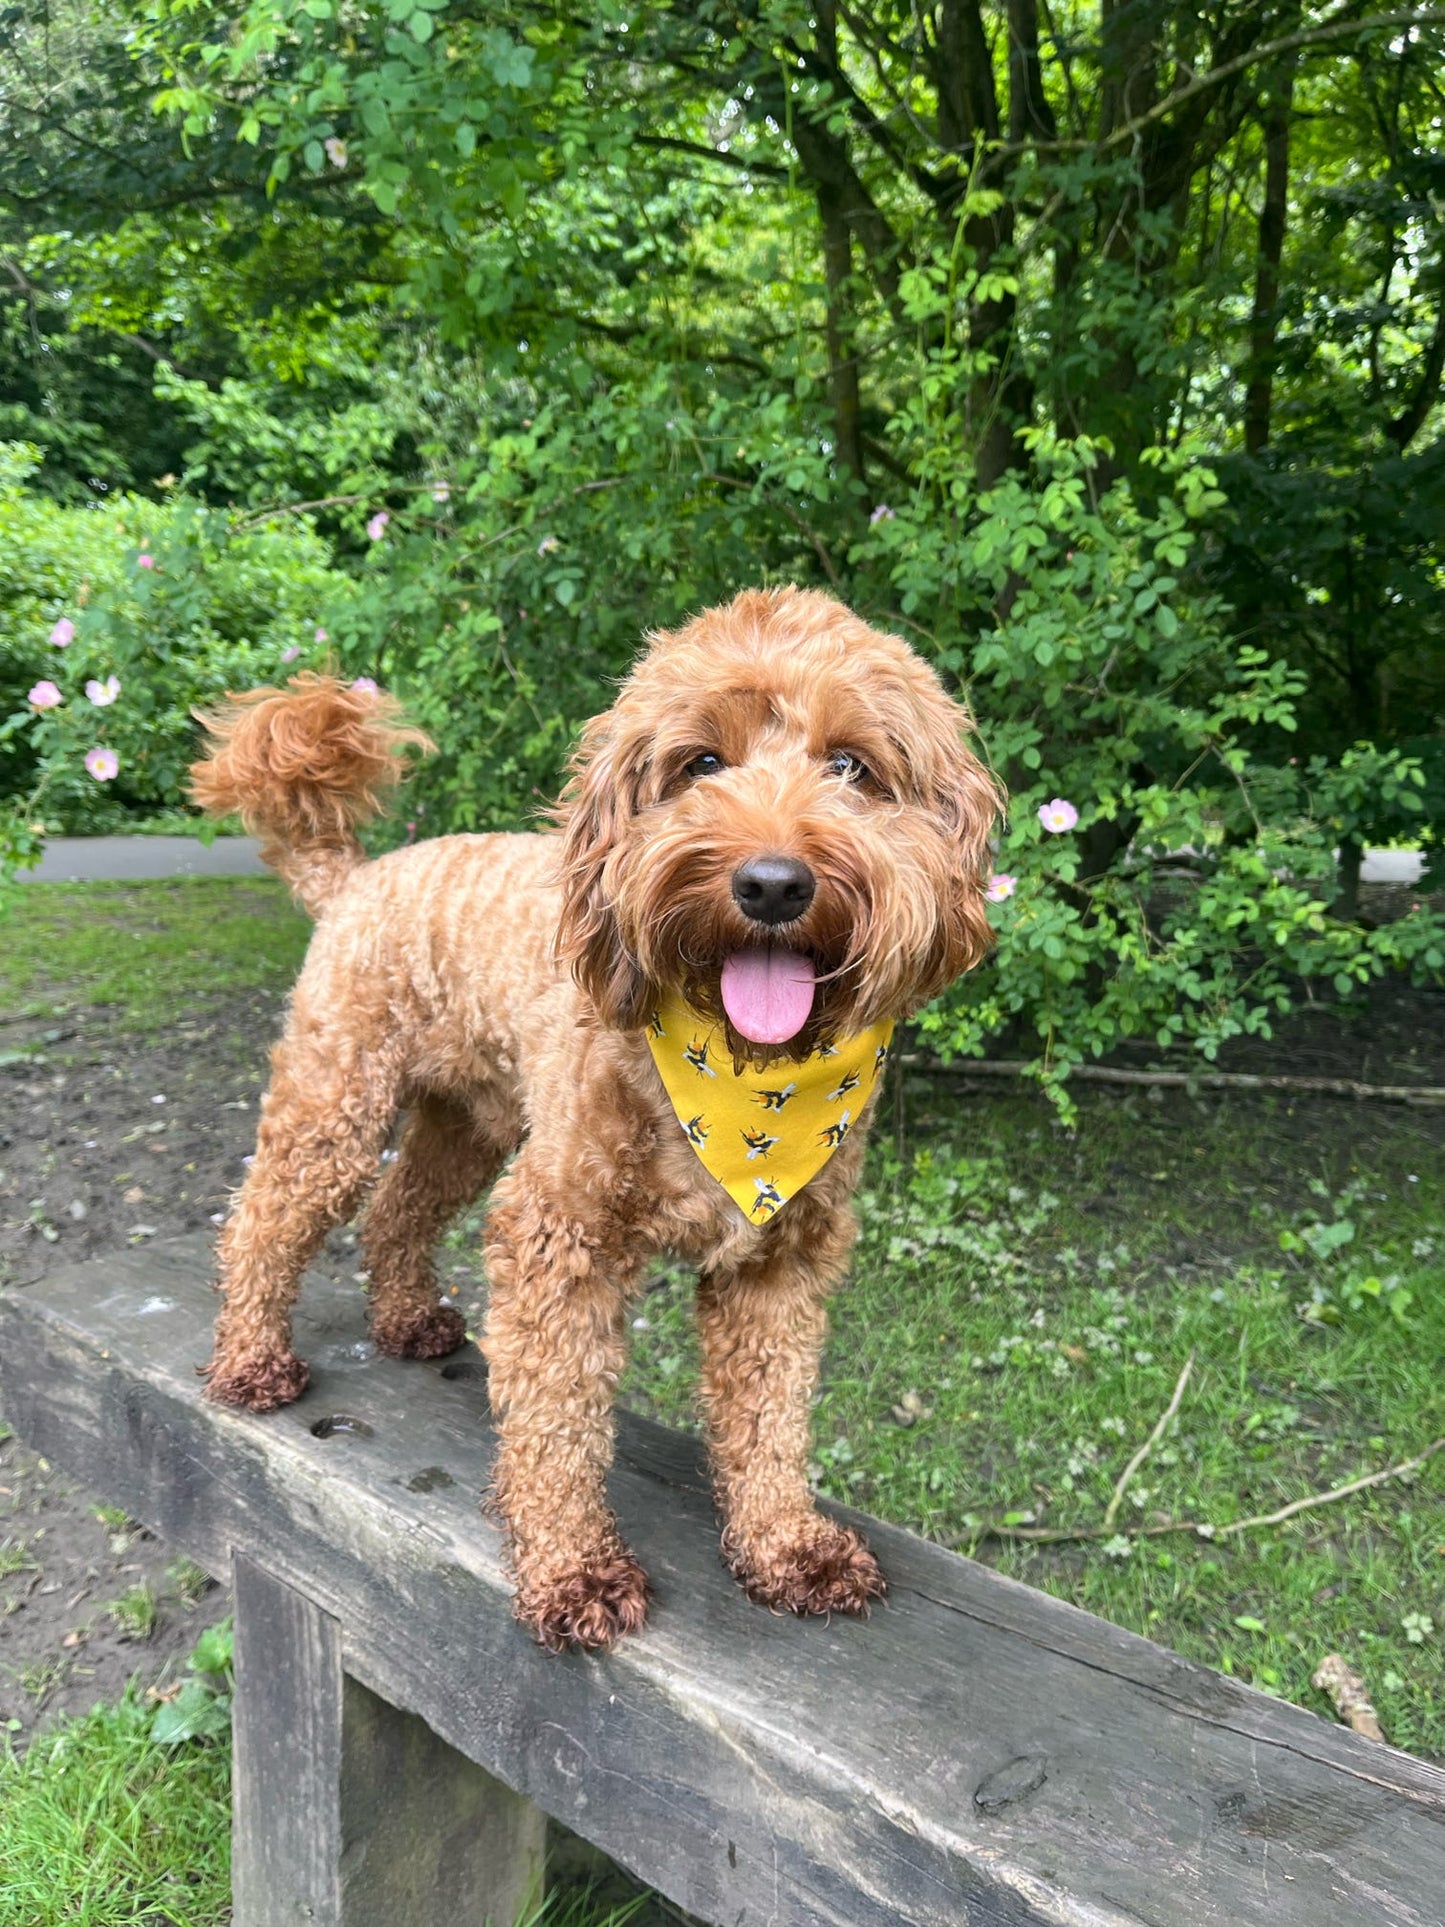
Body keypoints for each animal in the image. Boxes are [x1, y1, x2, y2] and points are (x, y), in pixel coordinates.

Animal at [189, 578, 1009, 1649]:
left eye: (851, 765)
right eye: (699, 762)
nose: (772, 883)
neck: (738, 1077)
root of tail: (355, 875)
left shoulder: (782, 1257)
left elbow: (772, 1414)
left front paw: (786, 1545)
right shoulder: (558, 1233)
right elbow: (556, 1419)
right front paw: (571, 1563)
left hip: (471, 1122)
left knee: (399, 1210)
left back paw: (408, 1321)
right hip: (337, 1102)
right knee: (263, 1220)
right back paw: (250, 1360)